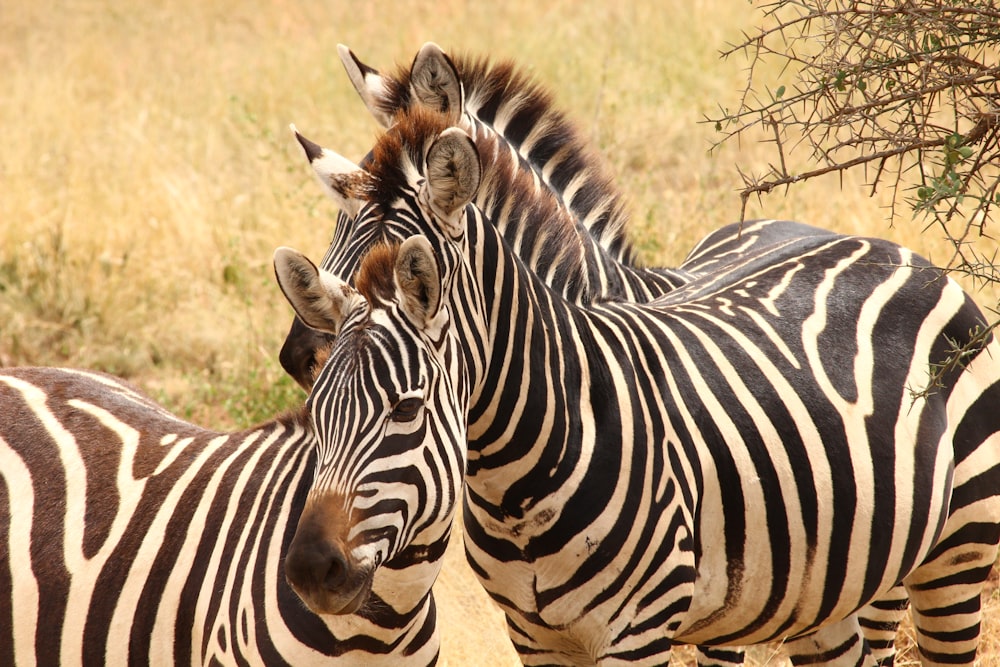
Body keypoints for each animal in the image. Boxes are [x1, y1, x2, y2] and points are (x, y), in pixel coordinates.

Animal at [270, 112, 1000, 664]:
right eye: (317, 410)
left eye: (407, 408)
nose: (308, 569)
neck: (517, 479)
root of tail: (898, 251)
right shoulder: (535, 638)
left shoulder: (639, 631)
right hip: (828, 586)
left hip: (952, 556)